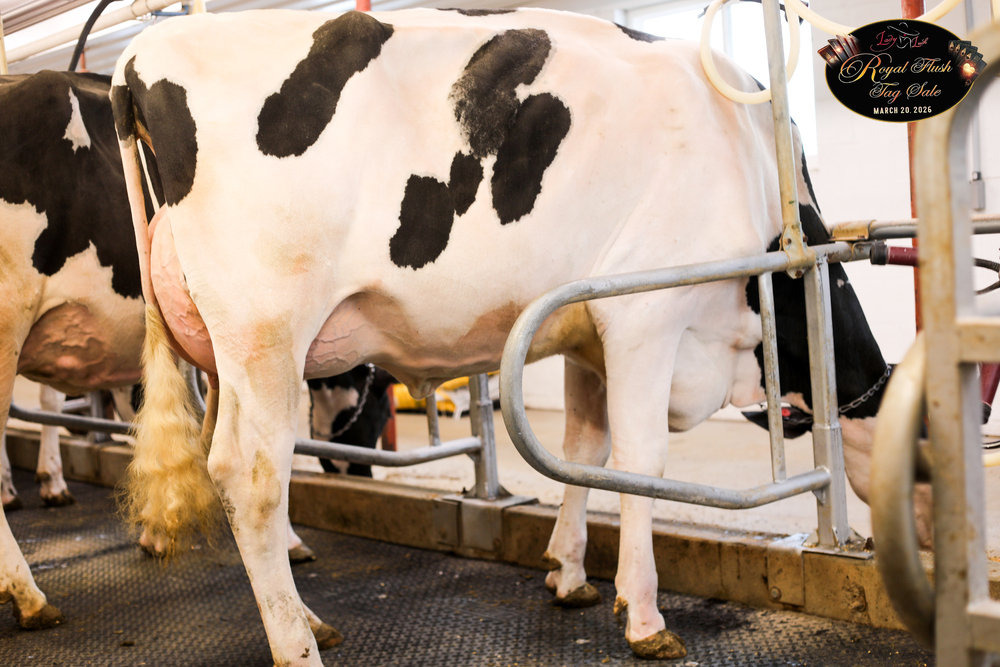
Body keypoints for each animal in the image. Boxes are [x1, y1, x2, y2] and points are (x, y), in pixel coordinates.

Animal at [110, 8, 909, 664]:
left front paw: (571, 573)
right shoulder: (645, 314)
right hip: (267, 332)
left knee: (227, 463)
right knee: (251, 476)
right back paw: (296, 645)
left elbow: (586, 451)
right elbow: (641, 459)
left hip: (222, 352)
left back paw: (309, 619)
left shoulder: (588, 331)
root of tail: (136, 58)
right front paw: (645, 616)